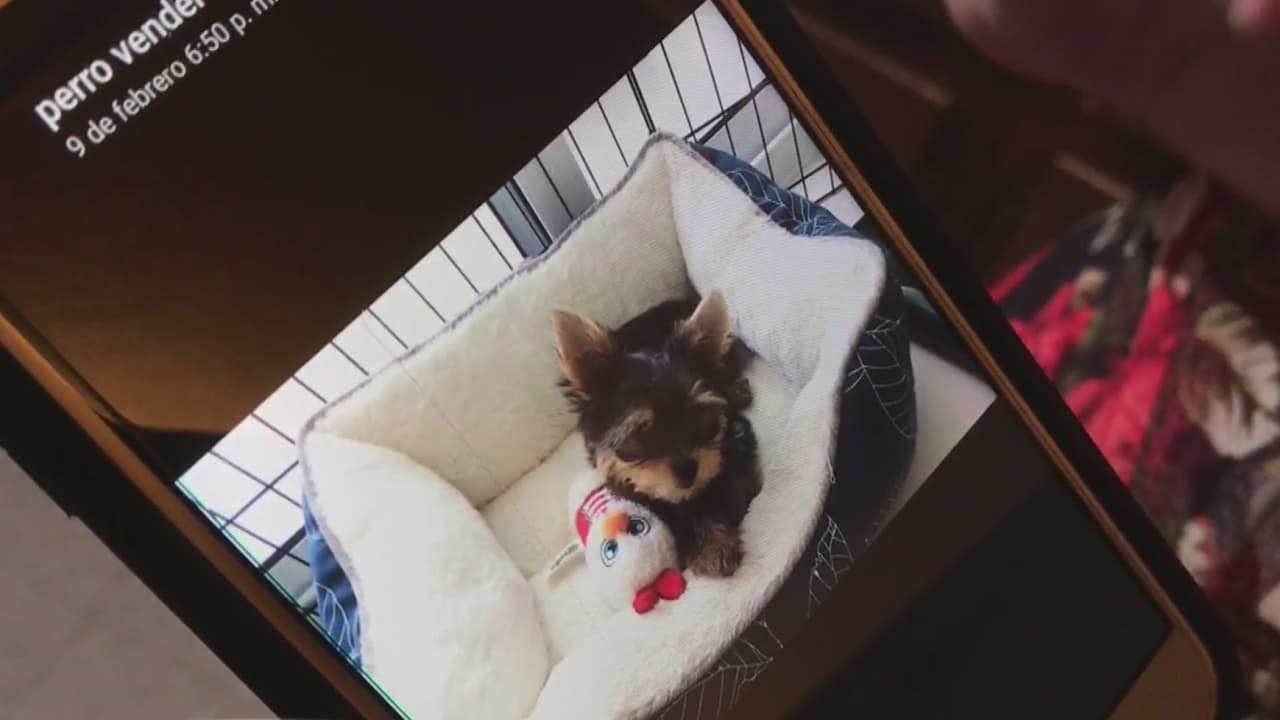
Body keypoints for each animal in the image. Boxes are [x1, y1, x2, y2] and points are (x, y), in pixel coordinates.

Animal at [552, 291, 762, 577]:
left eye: (702, 420)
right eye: (640, 435)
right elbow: (667, 509)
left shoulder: (736, 437)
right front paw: (709, 545)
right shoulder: (627, 482)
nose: (688, 470)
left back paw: (738, 390)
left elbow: (730, 477)